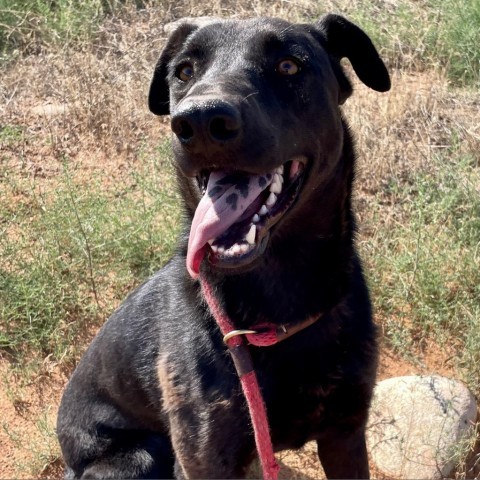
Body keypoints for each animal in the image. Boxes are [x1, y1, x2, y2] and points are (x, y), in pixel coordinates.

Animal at [56, 13, 390, 478]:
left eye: (289, 65)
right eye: (184, 72)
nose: (199, 122)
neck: (277, 310)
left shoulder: (346, 435)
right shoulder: (204, 457)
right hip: (138, 457)